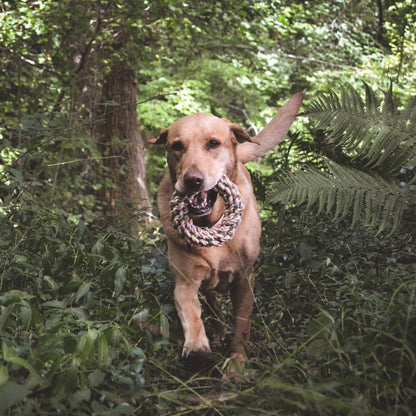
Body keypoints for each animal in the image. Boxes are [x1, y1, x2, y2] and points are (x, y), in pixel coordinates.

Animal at [151, 92, 304, 366]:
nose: (193, 180)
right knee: (213, 303)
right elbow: (191, 314)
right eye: (177, 146)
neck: (210, 221)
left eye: (213, 143)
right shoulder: (185, 282)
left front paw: (237, 362)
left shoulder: (245, 280)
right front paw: (197, 347)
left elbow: (242, 325)